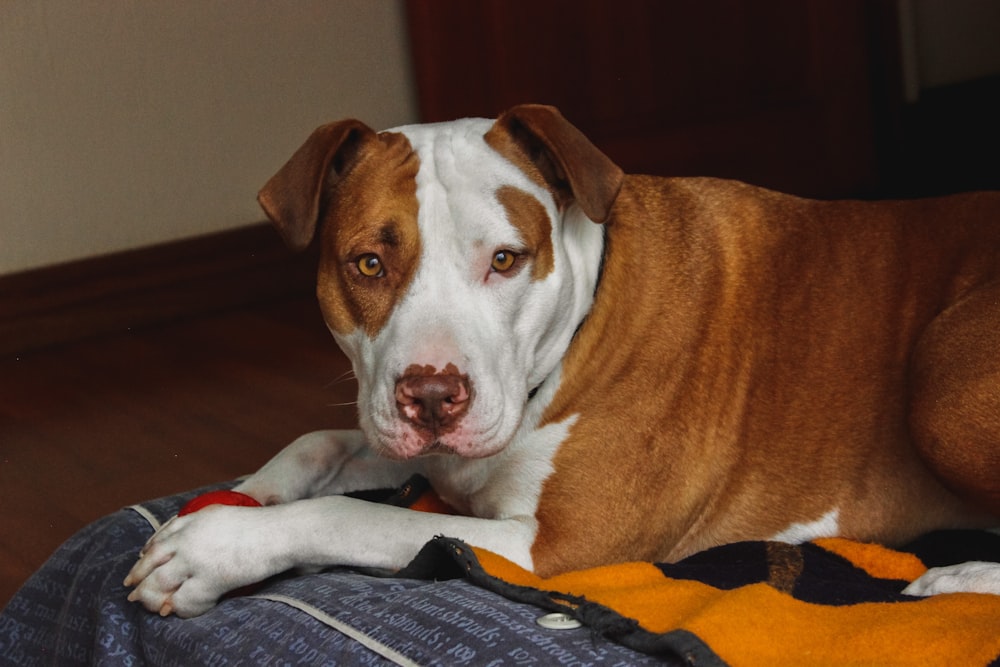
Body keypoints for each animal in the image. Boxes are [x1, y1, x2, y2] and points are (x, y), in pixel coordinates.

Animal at [125, 104, 1000, 620]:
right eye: (368, 264)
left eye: (506, 259)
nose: (433, 396)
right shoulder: (427, 452)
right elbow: (317, 444)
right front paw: (237, 497)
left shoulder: (557, 545)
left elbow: (355, 515)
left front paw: (212, 550)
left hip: (942, 380)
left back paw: (957, 579)